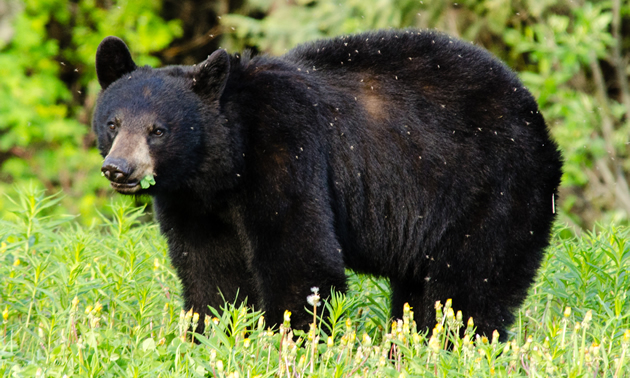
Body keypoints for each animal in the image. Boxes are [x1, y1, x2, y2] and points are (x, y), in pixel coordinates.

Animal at [92, 30, 564, 340]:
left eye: (158, 130)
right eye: (112, 122)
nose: (119, 168)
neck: (224, 165)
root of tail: (536, 119)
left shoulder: (286, 151)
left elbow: (301, 259)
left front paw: (296, 341)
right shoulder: (193, 202)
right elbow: (212, 273)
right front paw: (215, 336)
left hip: (489, 191)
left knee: (469, 287)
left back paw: (449, 346)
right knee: (418, 292)